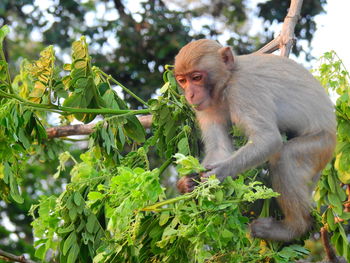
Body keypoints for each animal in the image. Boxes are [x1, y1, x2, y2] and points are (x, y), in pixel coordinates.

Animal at [174, 38, 334, 242]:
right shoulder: (208, 106)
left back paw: (293, 228)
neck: (228, 80)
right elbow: (219, 149)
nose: (190, 95)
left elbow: (268, 139)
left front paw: (218, 174)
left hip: (321, 145)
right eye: (183, 80)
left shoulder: (244, 89)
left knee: (285, 156)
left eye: (196, 78)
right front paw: (187, 183)